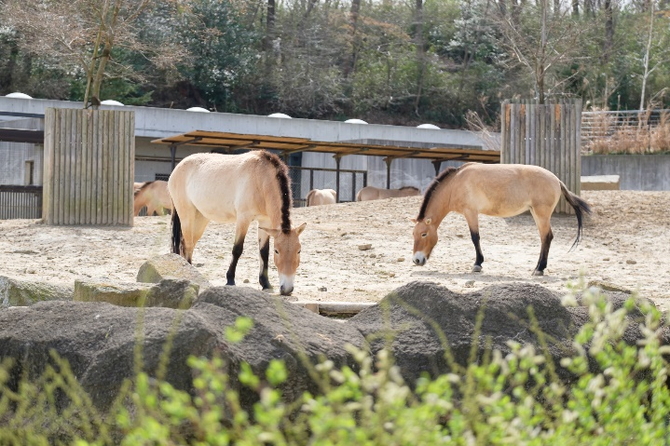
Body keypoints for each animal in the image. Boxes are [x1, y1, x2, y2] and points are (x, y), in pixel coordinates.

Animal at [168, 151, 308, 296]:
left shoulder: (265, 221)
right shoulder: (243, 218)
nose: (287, 289)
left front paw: (266, 283)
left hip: (200, 219)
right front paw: (230, 280)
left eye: (299, 250)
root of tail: (178, 167)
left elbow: (263, 252)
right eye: (277, 251)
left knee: (187, 244)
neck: (261, 178)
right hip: (187, 215)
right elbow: (237, 249)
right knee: (187, 245)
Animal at [412, 163, 592, 276]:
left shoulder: (471, 212)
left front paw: (477, 264)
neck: (456, 183)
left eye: (423, 234)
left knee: (546, 237)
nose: (416, 260)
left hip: (542, 215)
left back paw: (539, 269)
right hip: (536, 214)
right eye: (413, 234)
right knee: (544, 238)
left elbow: (475, 237)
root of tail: (556, 180)